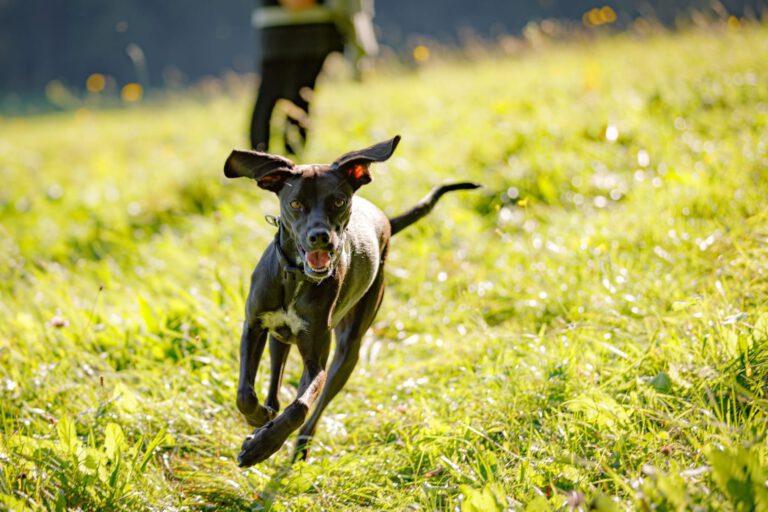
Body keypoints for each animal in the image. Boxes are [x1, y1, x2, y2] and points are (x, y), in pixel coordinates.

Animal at [222, 134, 476, 466]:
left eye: (339, 201)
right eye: (295, 203)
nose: (320, 237)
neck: (295, 278)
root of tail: (385, 220)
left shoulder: (316, 360)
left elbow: (301, 406)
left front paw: (261, 447)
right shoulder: (253, 327)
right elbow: (244, 394)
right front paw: (257, 420)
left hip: (348, 350)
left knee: (318, 402)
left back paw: (299, 444)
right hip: (281, 337)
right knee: (276, 376)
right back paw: (268, 414)